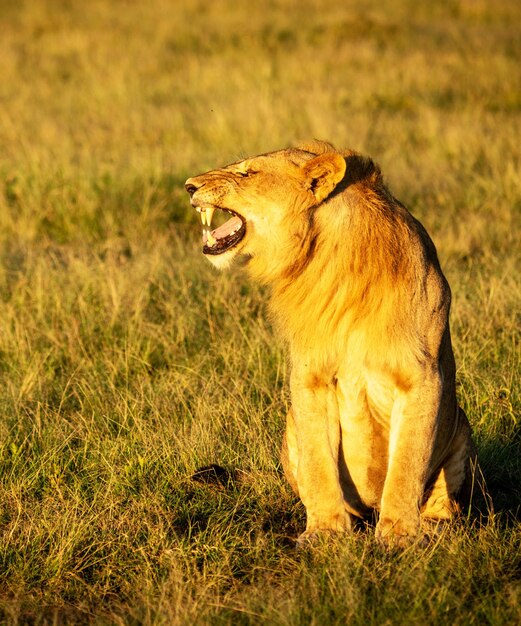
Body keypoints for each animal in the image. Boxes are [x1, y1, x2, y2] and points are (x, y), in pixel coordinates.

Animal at [185, 139, 478, 544]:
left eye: (247, 173)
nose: (188, 186)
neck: (326, 259)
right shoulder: (310, 377)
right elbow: (319, 463)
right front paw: (325, 531)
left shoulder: (422, 376)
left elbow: (407, 463)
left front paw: (399, 535)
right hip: (290, 429)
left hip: (461, 432)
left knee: (442, 497)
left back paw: (436, 527)